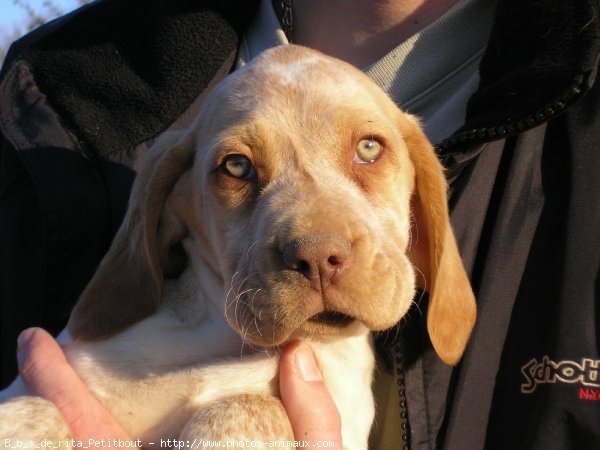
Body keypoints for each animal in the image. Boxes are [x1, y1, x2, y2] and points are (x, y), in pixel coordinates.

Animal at [1, 46, 478, 450]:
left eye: (368, 148)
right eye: (236, 166)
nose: (317, 258)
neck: (231, 344)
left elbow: (253, 405)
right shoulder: (33, 385)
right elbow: (37, 410)